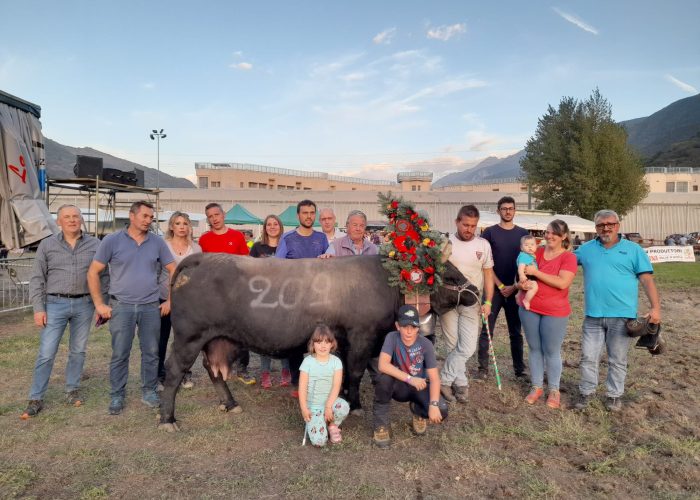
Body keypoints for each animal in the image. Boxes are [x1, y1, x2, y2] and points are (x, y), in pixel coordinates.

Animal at [159, 252, 478, 424]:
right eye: (449, 276)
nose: (475, 290)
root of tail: (200, 257)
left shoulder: (348, 341)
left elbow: (347, 371)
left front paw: (342, 397)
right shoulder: (361, 336)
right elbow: (356, 372)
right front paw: (356, 406)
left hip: (216, 340)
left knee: (214, 371)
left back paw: (230, 403)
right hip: (189, 337)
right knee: (174, 371)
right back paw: (168, 419)